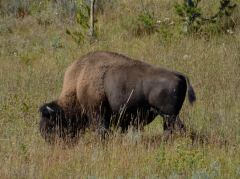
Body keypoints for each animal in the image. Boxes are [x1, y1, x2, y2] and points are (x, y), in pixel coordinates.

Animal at [39, 50, 195, 143]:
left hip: (170, 115)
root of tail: (177, 74)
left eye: (51, 125)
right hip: (168, 116)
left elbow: (101, 131)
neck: (78, 85)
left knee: (178, 128)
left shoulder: (97, 114)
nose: (49, 141)